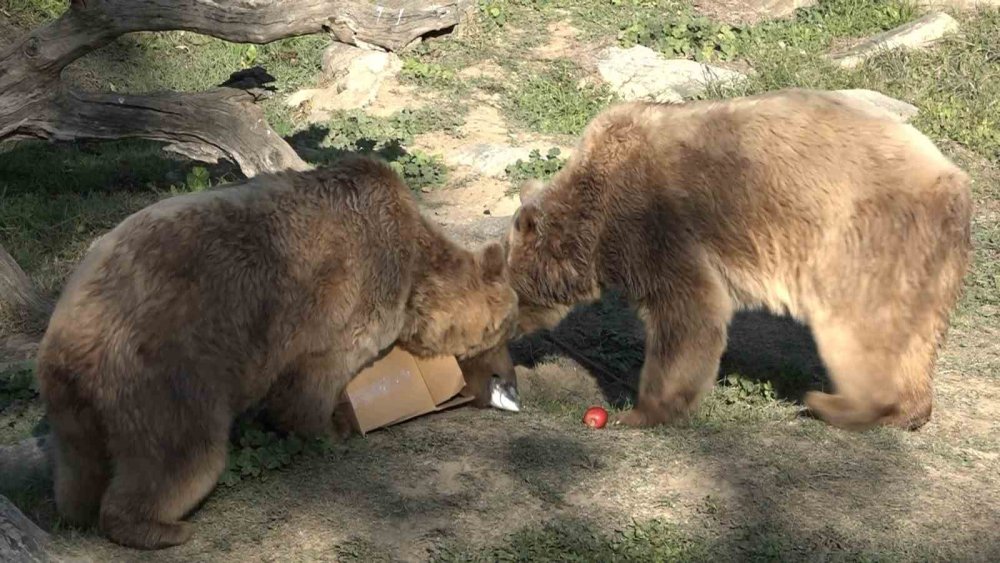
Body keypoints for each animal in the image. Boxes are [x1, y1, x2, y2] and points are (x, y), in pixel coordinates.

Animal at [35, 155, 520, 552]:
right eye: (504, 331)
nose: (510, 380)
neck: (413, 274)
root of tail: (68, 336)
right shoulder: (343, 298)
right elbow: (314, 379)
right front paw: (331, 429)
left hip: (74, 398)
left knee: (79, 461)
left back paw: (76, 509)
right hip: (166, 369)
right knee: (184, 454)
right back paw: (161, 527)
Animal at [504, 87, 972, 432]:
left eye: (509, 291)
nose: (508, 333)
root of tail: (953, 180)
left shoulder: (657, 221)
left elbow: (687, 313)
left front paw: (640, 411)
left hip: (864, 240)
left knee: (857, 333)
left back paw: (832, 403)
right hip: (927, 261)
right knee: (915, 339)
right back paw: (906, 410)